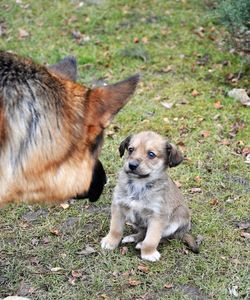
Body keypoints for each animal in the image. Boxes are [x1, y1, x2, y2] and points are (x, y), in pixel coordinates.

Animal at [100, 131, 198, 260]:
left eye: (151, 154)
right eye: (130, 149)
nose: (132, 165)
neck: (139, 184)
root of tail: (182, 233)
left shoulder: (157, 217)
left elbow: (152, 239)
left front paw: (148, 253)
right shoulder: (118, 206)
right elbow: (115, 229)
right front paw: (110, 242)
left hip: (179, 215)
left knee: (165, 238)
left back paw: (141, 244)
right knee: (143, 232)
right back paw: (133, 237)